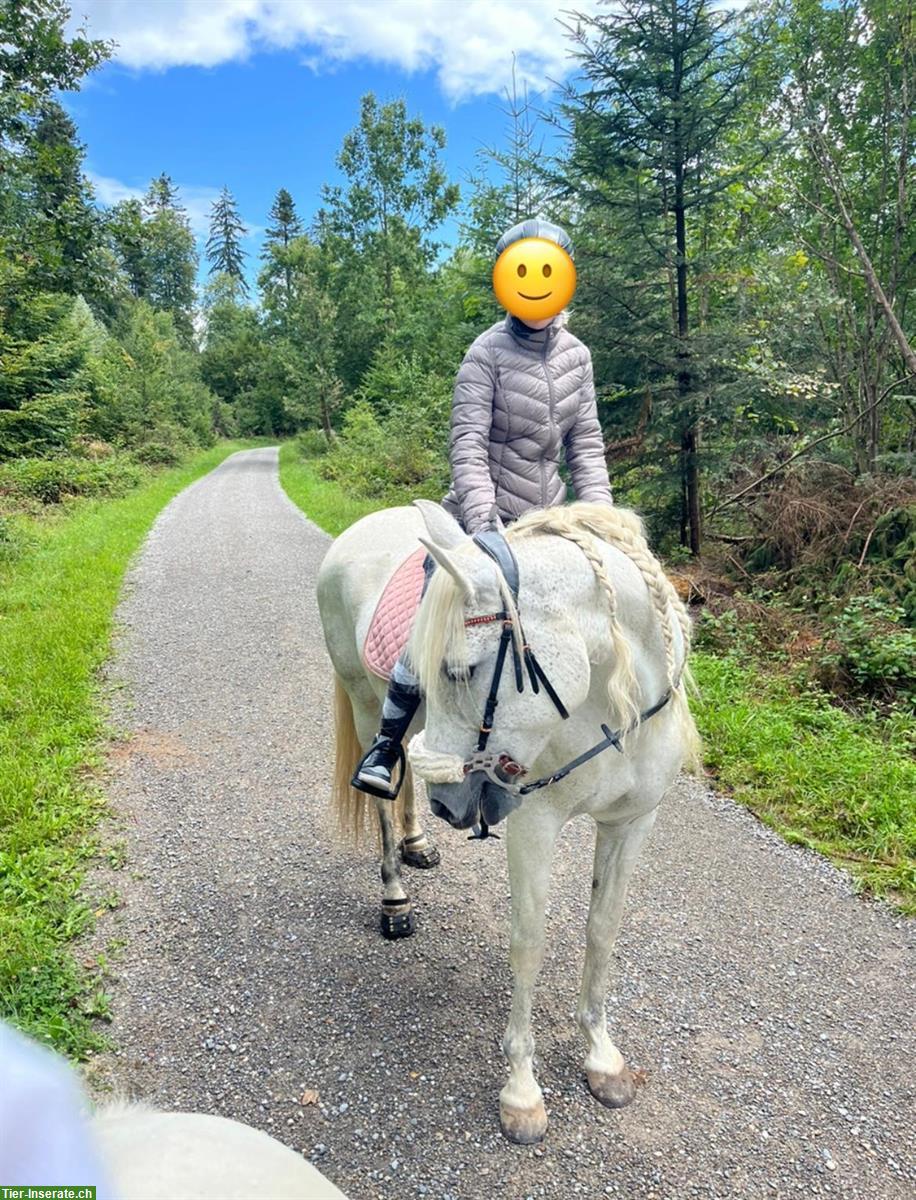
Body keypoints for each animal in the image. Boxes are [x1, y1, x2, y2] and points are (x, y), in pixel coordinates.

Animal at [319, 496, 696, 1142]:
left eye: (458, 670)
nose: (451, 806)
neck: (609, 712)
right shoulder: (533, 826)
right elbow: (529, 943)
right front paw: (522, 1091)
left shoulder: (631, 824)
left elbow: (603, 929)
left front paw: (601, 1056)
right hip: (366, 706)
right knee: (386, 790)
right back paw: (395, 898)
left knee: (410, 771)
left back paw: (419, 842)